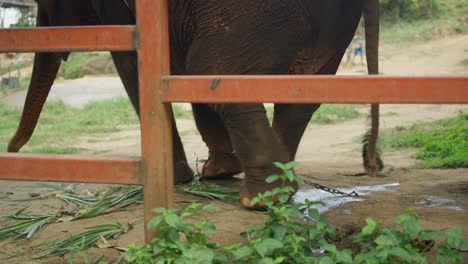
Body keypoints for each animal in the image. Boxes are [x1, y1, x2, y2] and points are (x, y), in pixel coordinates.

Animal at [6, 1, 380, 209]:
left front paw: (181, 178)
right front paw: (216, 173)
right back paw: (280, 188)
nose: (11, 149)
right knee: (300, 96)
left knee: (213, 68)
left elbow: (136, 61)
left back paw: (260, 200)